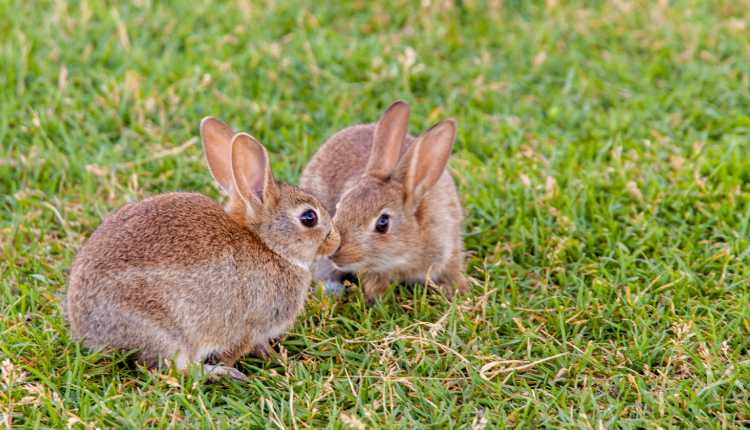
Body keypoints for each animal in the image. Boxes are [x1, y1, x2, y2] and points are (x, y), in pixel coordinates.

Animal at [64, 116, 340, 380]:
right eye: (309, 218)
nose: (335, 240)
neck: (268, 245)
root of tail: (88, 330)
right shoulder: (249, 327)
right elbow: (237, 348)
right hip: (164, 332)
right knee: (173, 370)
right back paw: (221, 373)